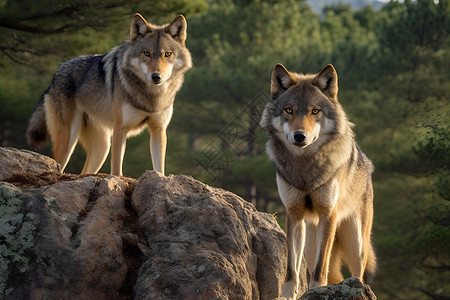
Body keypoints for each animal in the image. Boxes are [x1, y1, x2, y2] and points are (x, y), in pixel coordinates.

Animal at [26, 13, 192, 176]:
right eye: (146, 53)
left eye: (167, 54)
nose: (156, 77)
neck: (152, 96)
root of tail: (55, 75)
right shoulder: (120, 129)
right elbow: (117, 170)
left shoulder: (159, 130)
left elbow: (159, 169)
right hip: (69, 141)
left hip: (102, 148)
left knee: (83, 173)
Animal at [260, 63, 376, 298]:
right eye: (289, 110)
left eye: (315, 111)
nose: (299, 136)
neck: (305, 168)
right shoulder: (294, 214)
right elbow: (291, 269)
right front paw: (288, 295)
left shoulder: (328, 214)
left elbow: (320, 267)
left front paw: (316, 289)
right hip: (310, 244)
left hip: (356, 244)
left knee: (357, 275)